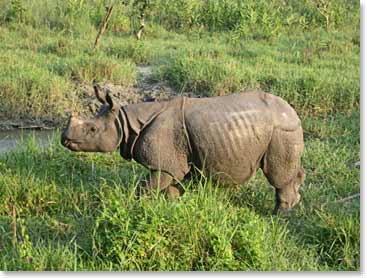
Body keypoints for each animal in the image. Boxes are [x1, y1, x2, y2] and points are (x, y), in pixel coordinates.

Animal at [61, 83, 306, 214]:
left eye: (92, 129)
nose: (64, 139)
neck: (125, 121)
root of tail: (293, 112)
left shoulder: (163, 164)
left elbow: (146, 188)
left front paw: (137, 207)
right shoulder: (175, 162)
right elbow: (170, 188)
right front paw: (173, 207)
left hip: (282, 130)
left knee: (278, 176)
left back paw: (278, 215)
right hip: (282, 128)